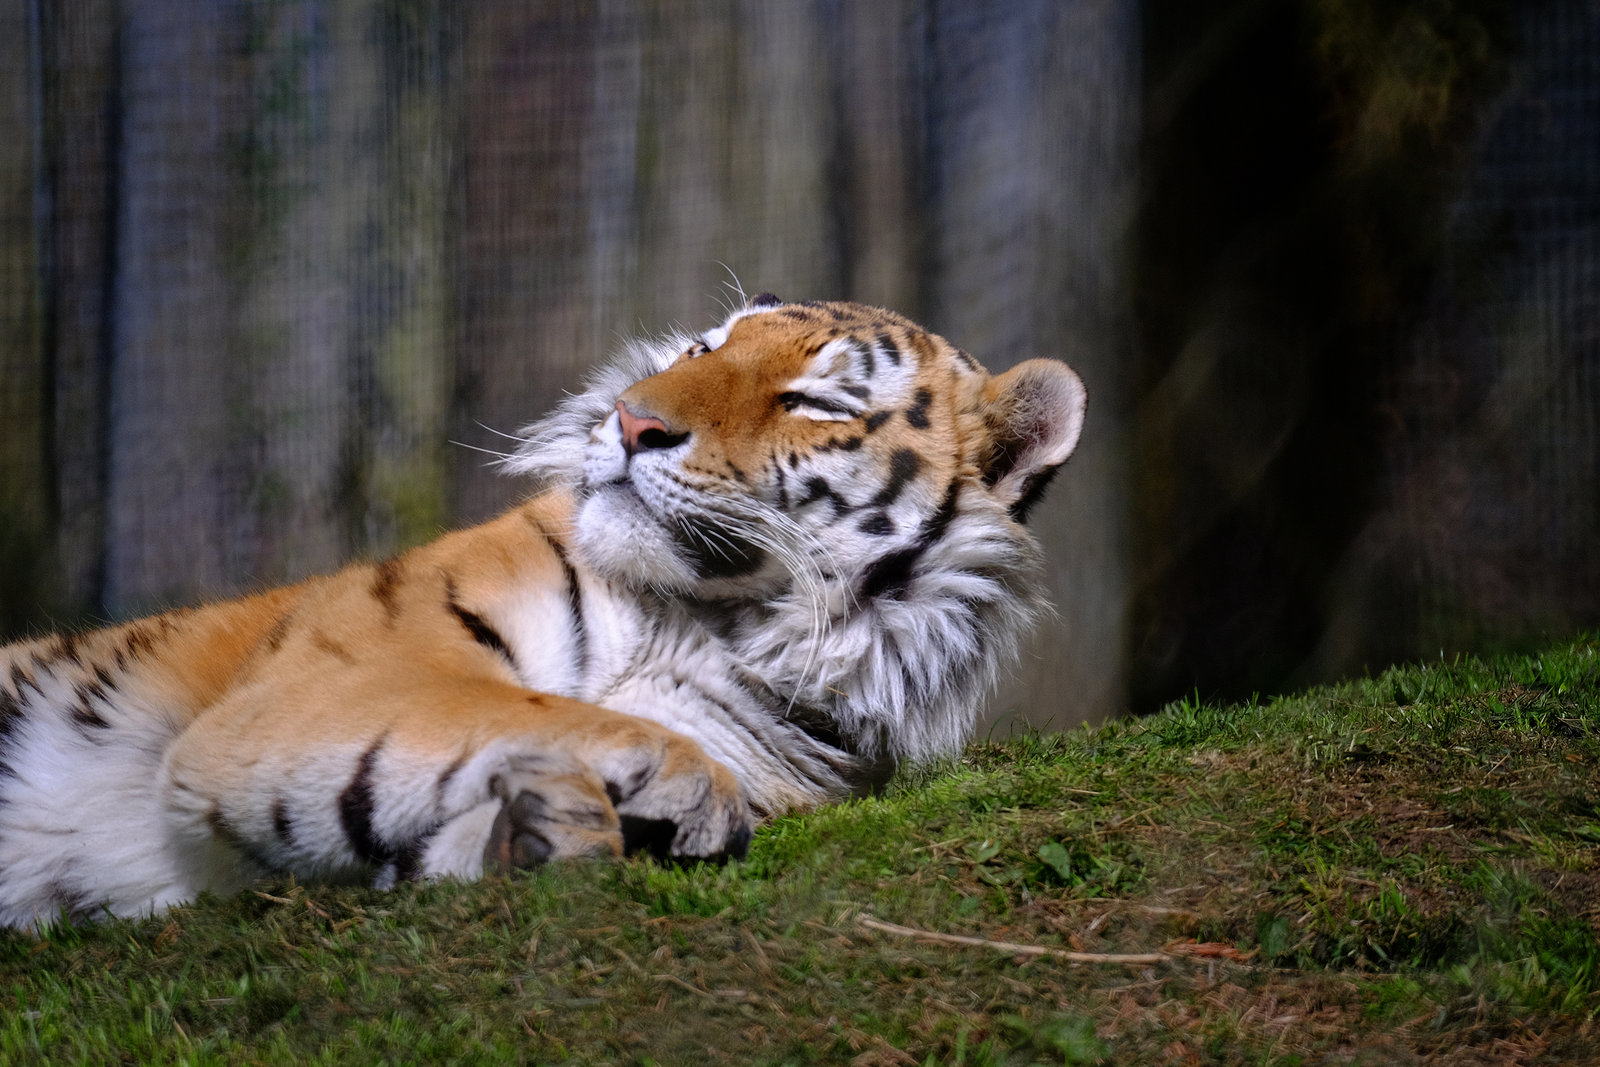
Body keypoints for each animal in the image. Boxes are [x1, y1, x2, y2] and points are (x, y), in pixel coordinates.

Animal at [0, 295, 1088, 927]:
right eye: (702, 345)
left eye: (812, 402)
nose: (631, 419)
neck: (711, 613)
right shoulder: (325, 683)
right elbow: (519, 709)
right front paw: (676, 788)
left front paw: (539, 832)